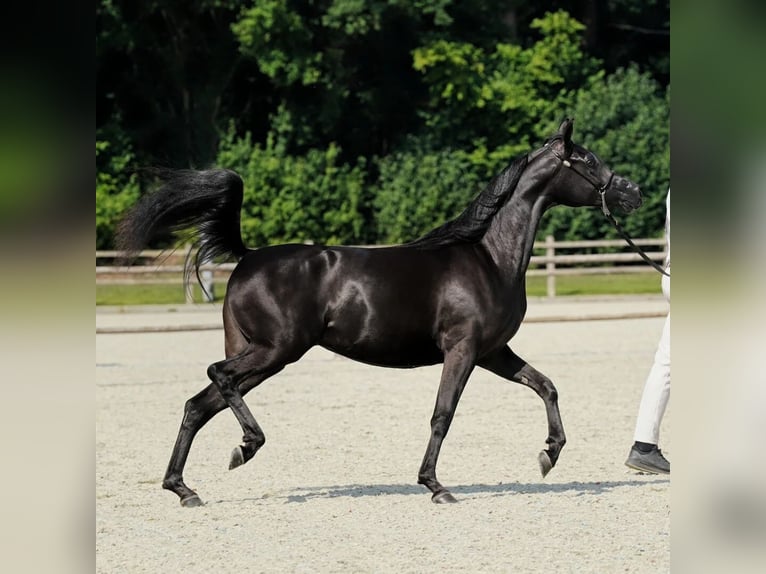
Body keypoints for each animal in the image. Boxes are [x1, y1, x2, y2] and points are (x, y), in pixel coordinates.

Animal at [117, 118, 642, 506]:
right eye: (587, 161)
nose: (631, 193)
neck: (490, 258)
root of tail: (247, 257)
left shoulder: (494, 352)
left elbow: (545, 386)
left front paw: (549, 454)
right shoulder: (463, 350)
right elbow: (442, 414)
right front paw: (436, 486)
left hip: (264, 355)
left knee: (198, 404)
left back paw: (184, 489)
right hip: (275, 350)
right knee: (218, 377)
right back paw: (245, 446)